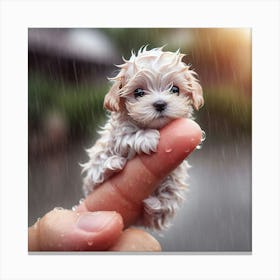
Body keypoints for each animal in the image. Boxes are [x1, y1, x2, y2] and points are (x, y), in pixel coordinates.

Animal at [81, 46, 203, 230]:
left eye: (175, 90)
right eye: (138, 92)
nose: (160, 104)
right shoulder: (119, 133)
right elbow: (127, 134)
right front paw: (147, 137)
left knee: (160, 210)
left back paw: (154, 204)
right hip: (95, 169)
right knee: (97, 174)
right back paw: (113, 164)